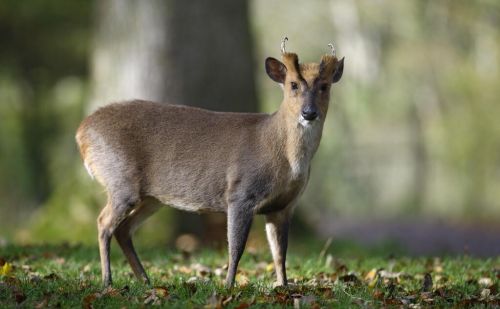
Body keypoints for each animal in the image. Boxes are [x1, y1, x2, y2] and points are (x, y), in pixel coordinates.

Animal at [76, 38, 344, 286]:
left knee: (123, 229)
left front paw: (284, 287)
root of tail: (82, 132)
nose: (309, 113)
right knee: (103, 223)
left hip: (152, 198)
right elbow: (236, 248)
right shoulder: (240, 193)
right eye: (293, 85)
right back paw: (108, 281)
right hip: (120, 180)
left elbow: (280, 253)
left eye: (324, 86)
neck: (283, 156)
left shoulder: (284, 205)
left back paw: (144, 280)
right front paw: (229, 286)